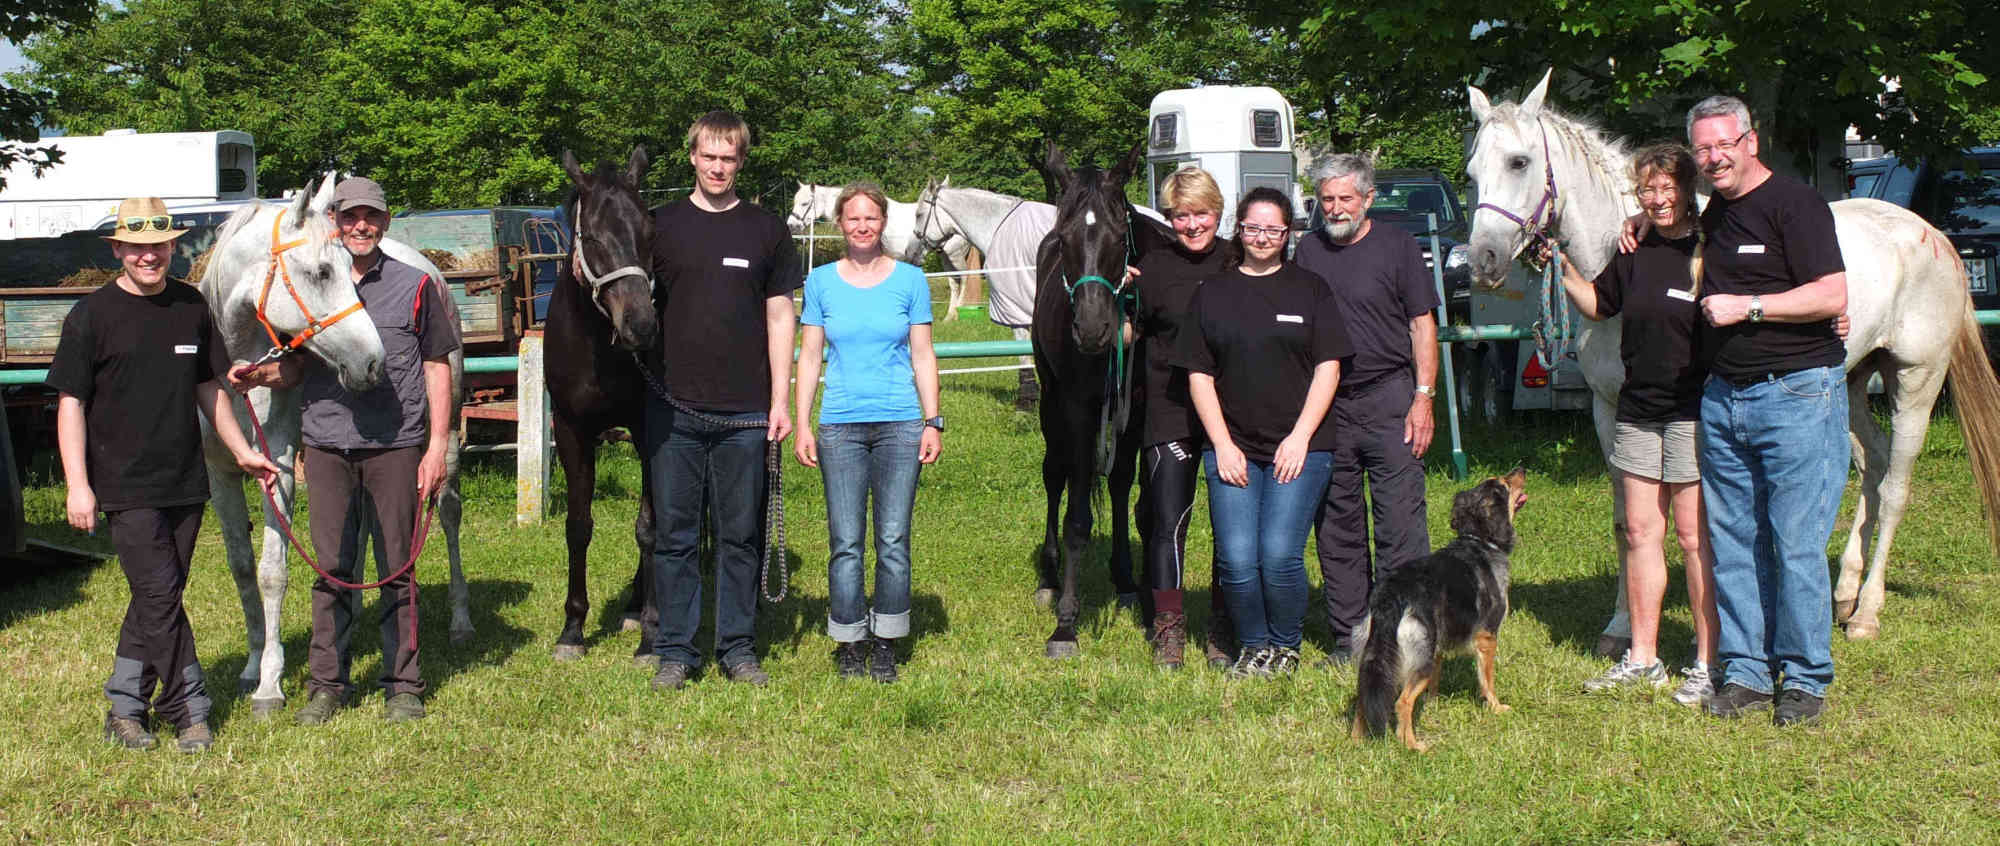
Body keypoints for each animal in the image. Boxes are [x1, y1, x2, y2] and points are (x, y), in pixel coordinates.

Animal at [200, 177, 472, 716]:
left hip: (446, 437)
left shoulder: (279, 469)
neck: (238, 375)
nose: (372, 362)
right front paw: (252, 665)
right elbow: (241, 568)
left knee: (447, 512)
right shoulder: (220, 474)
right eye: (323, 271)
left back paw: (460, 621)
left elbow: (272, 572)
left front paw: (270, 685)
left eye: (348, 269)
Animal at [1040, 139, 1176, 660]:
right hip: (1050, 404)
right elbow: (1077, 517)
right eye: (1064, 239)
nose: (1095, 329)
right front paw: (1066, 625)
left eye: (1121, 238)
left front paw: (1148, 605)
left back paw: (1122, 579)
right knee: (1054, 474)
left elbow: (1142, 510)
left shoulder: (1141, 411)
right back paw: (1049, 575)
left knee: (1117, 486)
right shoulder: (1077, 410)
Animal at [1352, 470, 1520, 756]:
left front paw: (1433, 705)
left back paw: (1354, 742)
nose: (1521, 470)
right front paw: (1497, 707)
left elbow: (1436, 683)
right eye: (1505, 484)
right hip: (1421, 658)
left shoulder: (1439, 644)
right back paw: (1413, 745)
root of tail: (1391, 596)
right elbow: (1487, 681)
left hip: (1378, 655)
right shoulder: (1487, 637)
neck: (1479, 540)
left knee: (1365, 697)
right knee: (1402, 702)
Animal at [1456, 73, 2000, 644]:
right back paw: (1844, 595)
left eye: (1519, 161)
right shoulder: (1611, 412)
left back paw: (1866, 613)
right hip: (1851, 384)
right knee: (1872, 469)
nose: (1482, 262)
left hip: (1915, 381)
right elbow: (1627, 521)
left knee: (1895, 485)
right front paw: (1622, 626)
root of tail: (1933, 236)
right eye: (1471, 172)